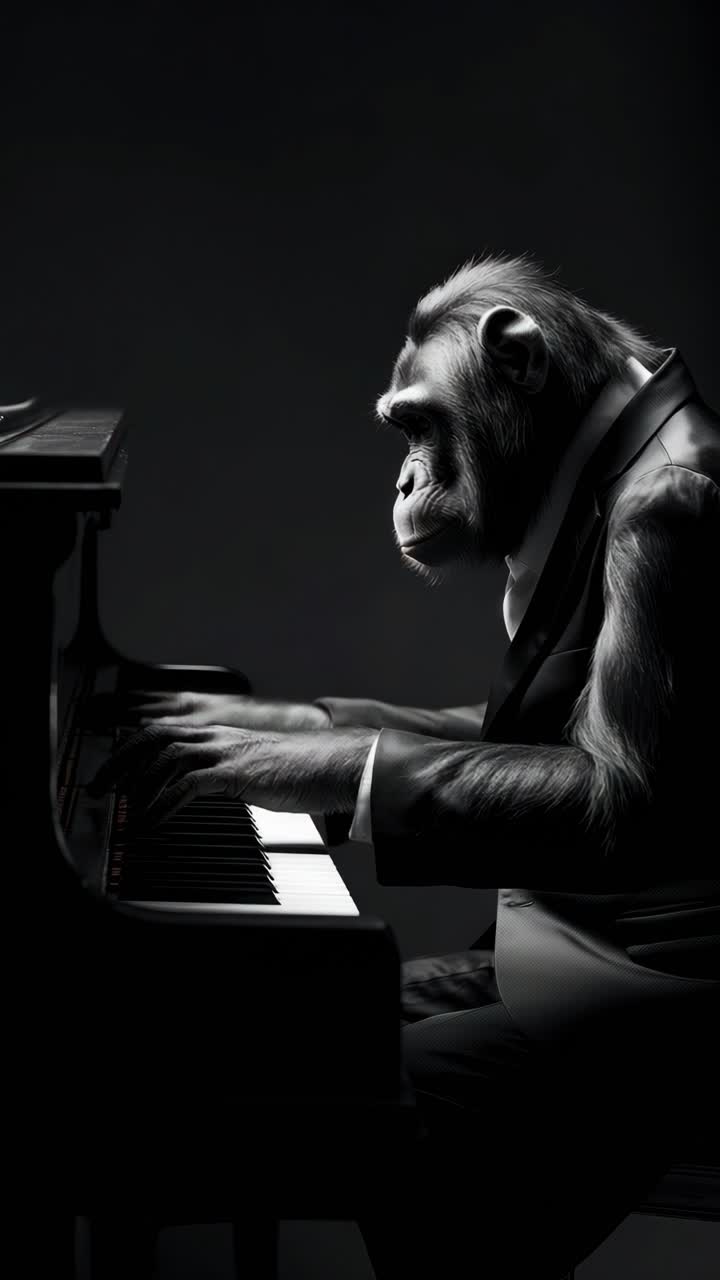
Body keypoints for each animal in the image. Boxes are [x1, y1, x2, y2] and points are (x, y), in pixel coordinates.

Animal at [92, 256, 720, 1278]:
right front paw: (246, 717)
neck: (594, 455)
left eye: (420, 423)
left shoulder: (664, 531)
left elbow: (620, 798)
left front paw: (279, 757)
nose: (403, 479)